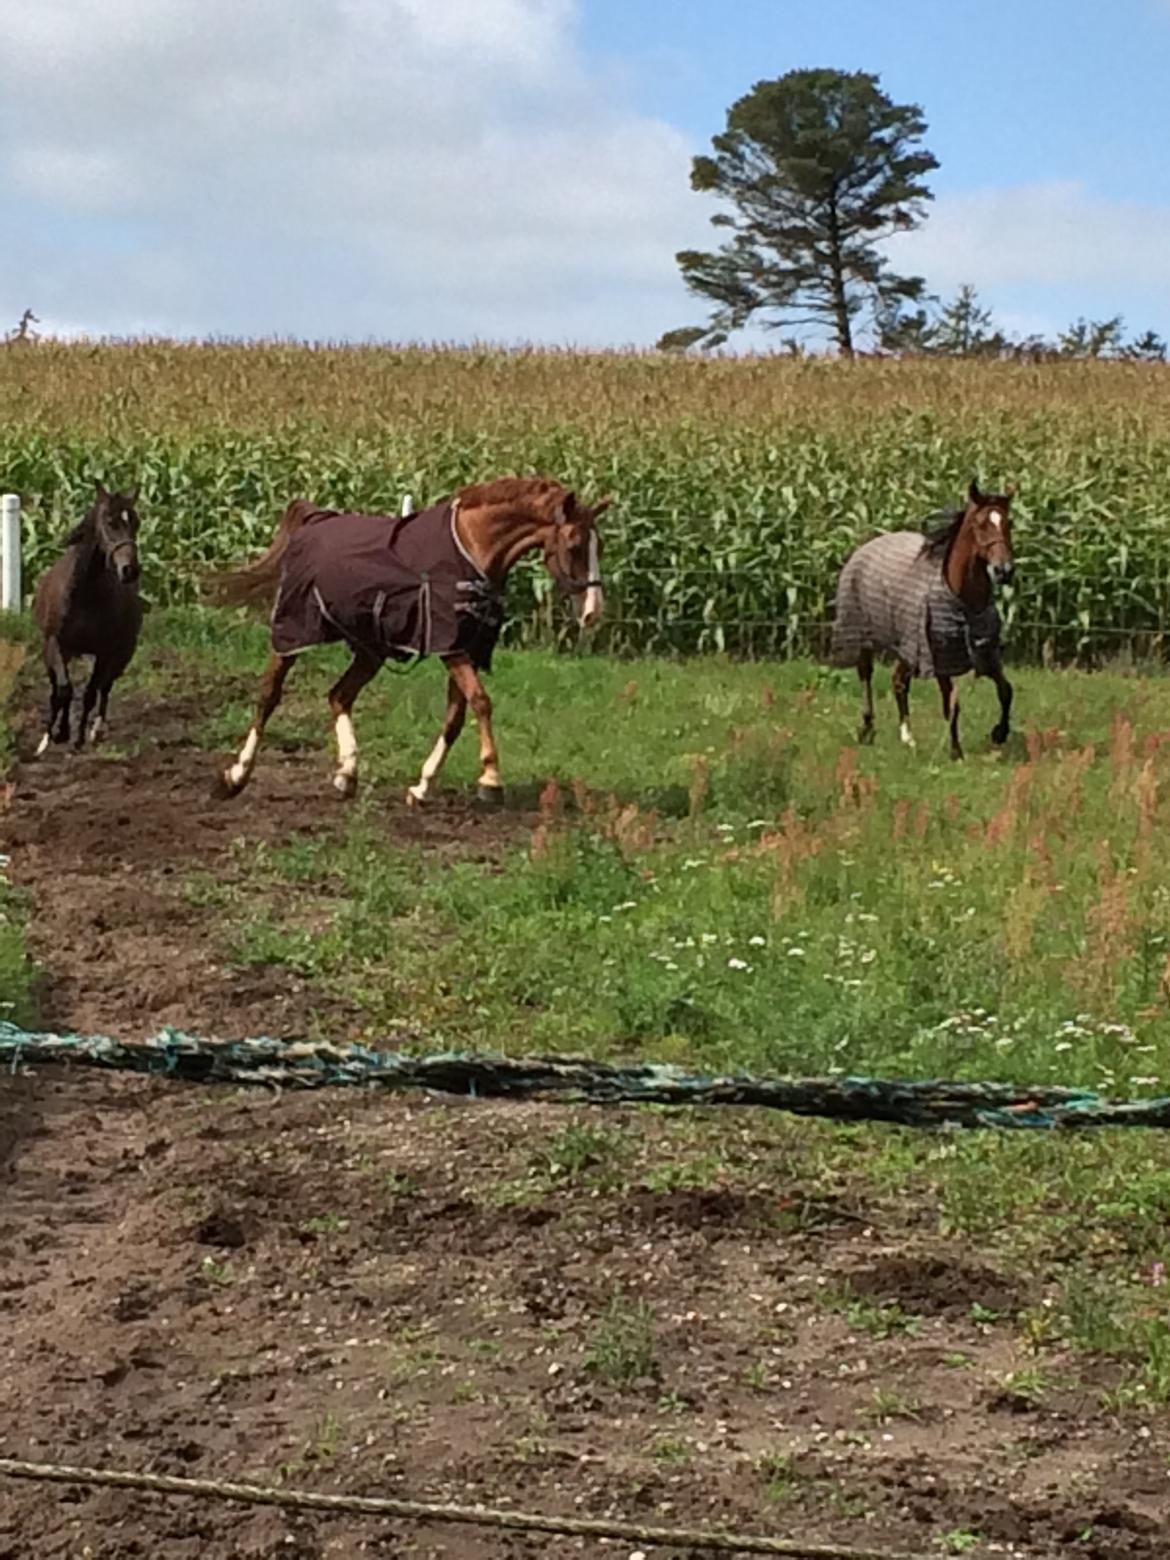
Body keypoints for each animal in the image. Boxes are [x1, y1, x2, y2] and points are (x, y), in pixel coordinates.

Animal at [31, 483, 143, 758]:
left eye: (136, 522)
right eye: (110, 522)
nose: (130, 570)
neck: (84, 594)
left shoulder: (105, 652)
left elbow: (90, 693)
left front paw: (78, 738)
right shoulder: (55, 644)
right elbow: (62, 690)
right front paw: (51, 736)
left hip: (123, 653)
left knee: (105, 687)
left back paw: (96, 730)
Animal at [209, 474, 608, 804]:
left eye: (599, 548)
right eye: (574, 545)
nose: (593, 612)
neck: (471, 550)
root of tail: (315, 519)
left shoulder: (465, 649)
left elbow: (456, 717)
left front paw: (422, 787)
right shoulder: (452, 647)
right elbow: (481, 702)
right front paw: (491, 780)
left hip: (370, 651)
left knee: (339, 696)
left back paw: (346, 774)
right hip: (293, 635)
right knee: (269, 696)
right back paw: (235, 776)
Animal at [836, 480, 1017, 761]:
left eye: (1008, 522)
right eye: (979, 524)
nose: (1004, 571)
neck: (962, 599)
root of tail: (867, 545)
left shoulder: (987, 653)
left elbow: (1006, 691)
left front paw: (999, 733)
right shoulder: (940, 659)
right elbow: (951, 705)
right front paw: (956, 752)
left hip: (908, 644)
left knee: (899, 681)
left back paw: (907, 738)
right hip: (864, 635)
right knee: (866, 674)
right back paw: (867, 729)